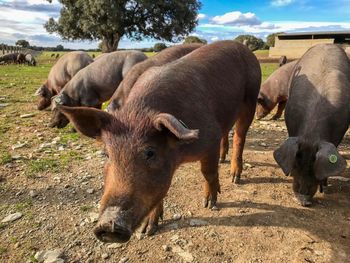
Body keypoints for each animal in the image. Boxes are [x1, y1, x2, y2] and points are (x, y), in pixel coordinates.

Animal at [57, 40, 260, 243]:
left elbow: (208, 173)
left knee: (240, 137)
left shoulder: (210, 137)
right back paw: (223, 160)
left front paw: (209, 203)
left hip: (251, 98)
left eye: (150, 152)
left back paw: (235, 177)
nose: (109, 224)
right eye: (107, 154)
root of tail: (242, 46)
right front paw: (147, 230)